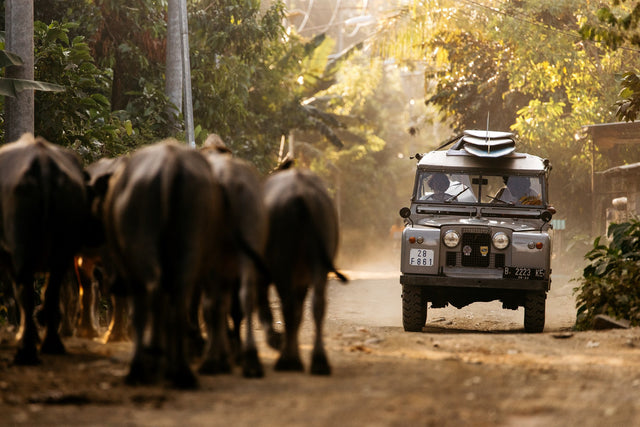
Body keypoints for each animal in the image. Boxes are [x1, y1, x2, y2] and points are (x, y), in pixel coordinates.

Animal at [0, 133, 92, 364]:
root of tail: (43, 165)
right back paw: (51, 343)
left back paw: (26, 350)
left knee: (24, 288)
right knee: (52, 287)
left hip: (21, 239)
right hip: (64, 238)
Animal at [103, 140, 225, 388]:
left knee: (152, 298)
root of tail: (171, 163)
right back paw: (182, 371)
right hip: (190, 243)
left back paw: (145, 366)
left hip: (143, 245)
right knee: (179, 300)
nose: (113, 285)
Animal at [258, 169, 348, 376]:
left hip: (282, 262)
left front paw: (275, 339)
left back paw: (287, 361)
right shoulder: (301, 280)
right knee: (317, 304)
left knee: (288, 306)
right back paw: (319, 362)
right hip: (320, 255)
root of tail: (300, 195)